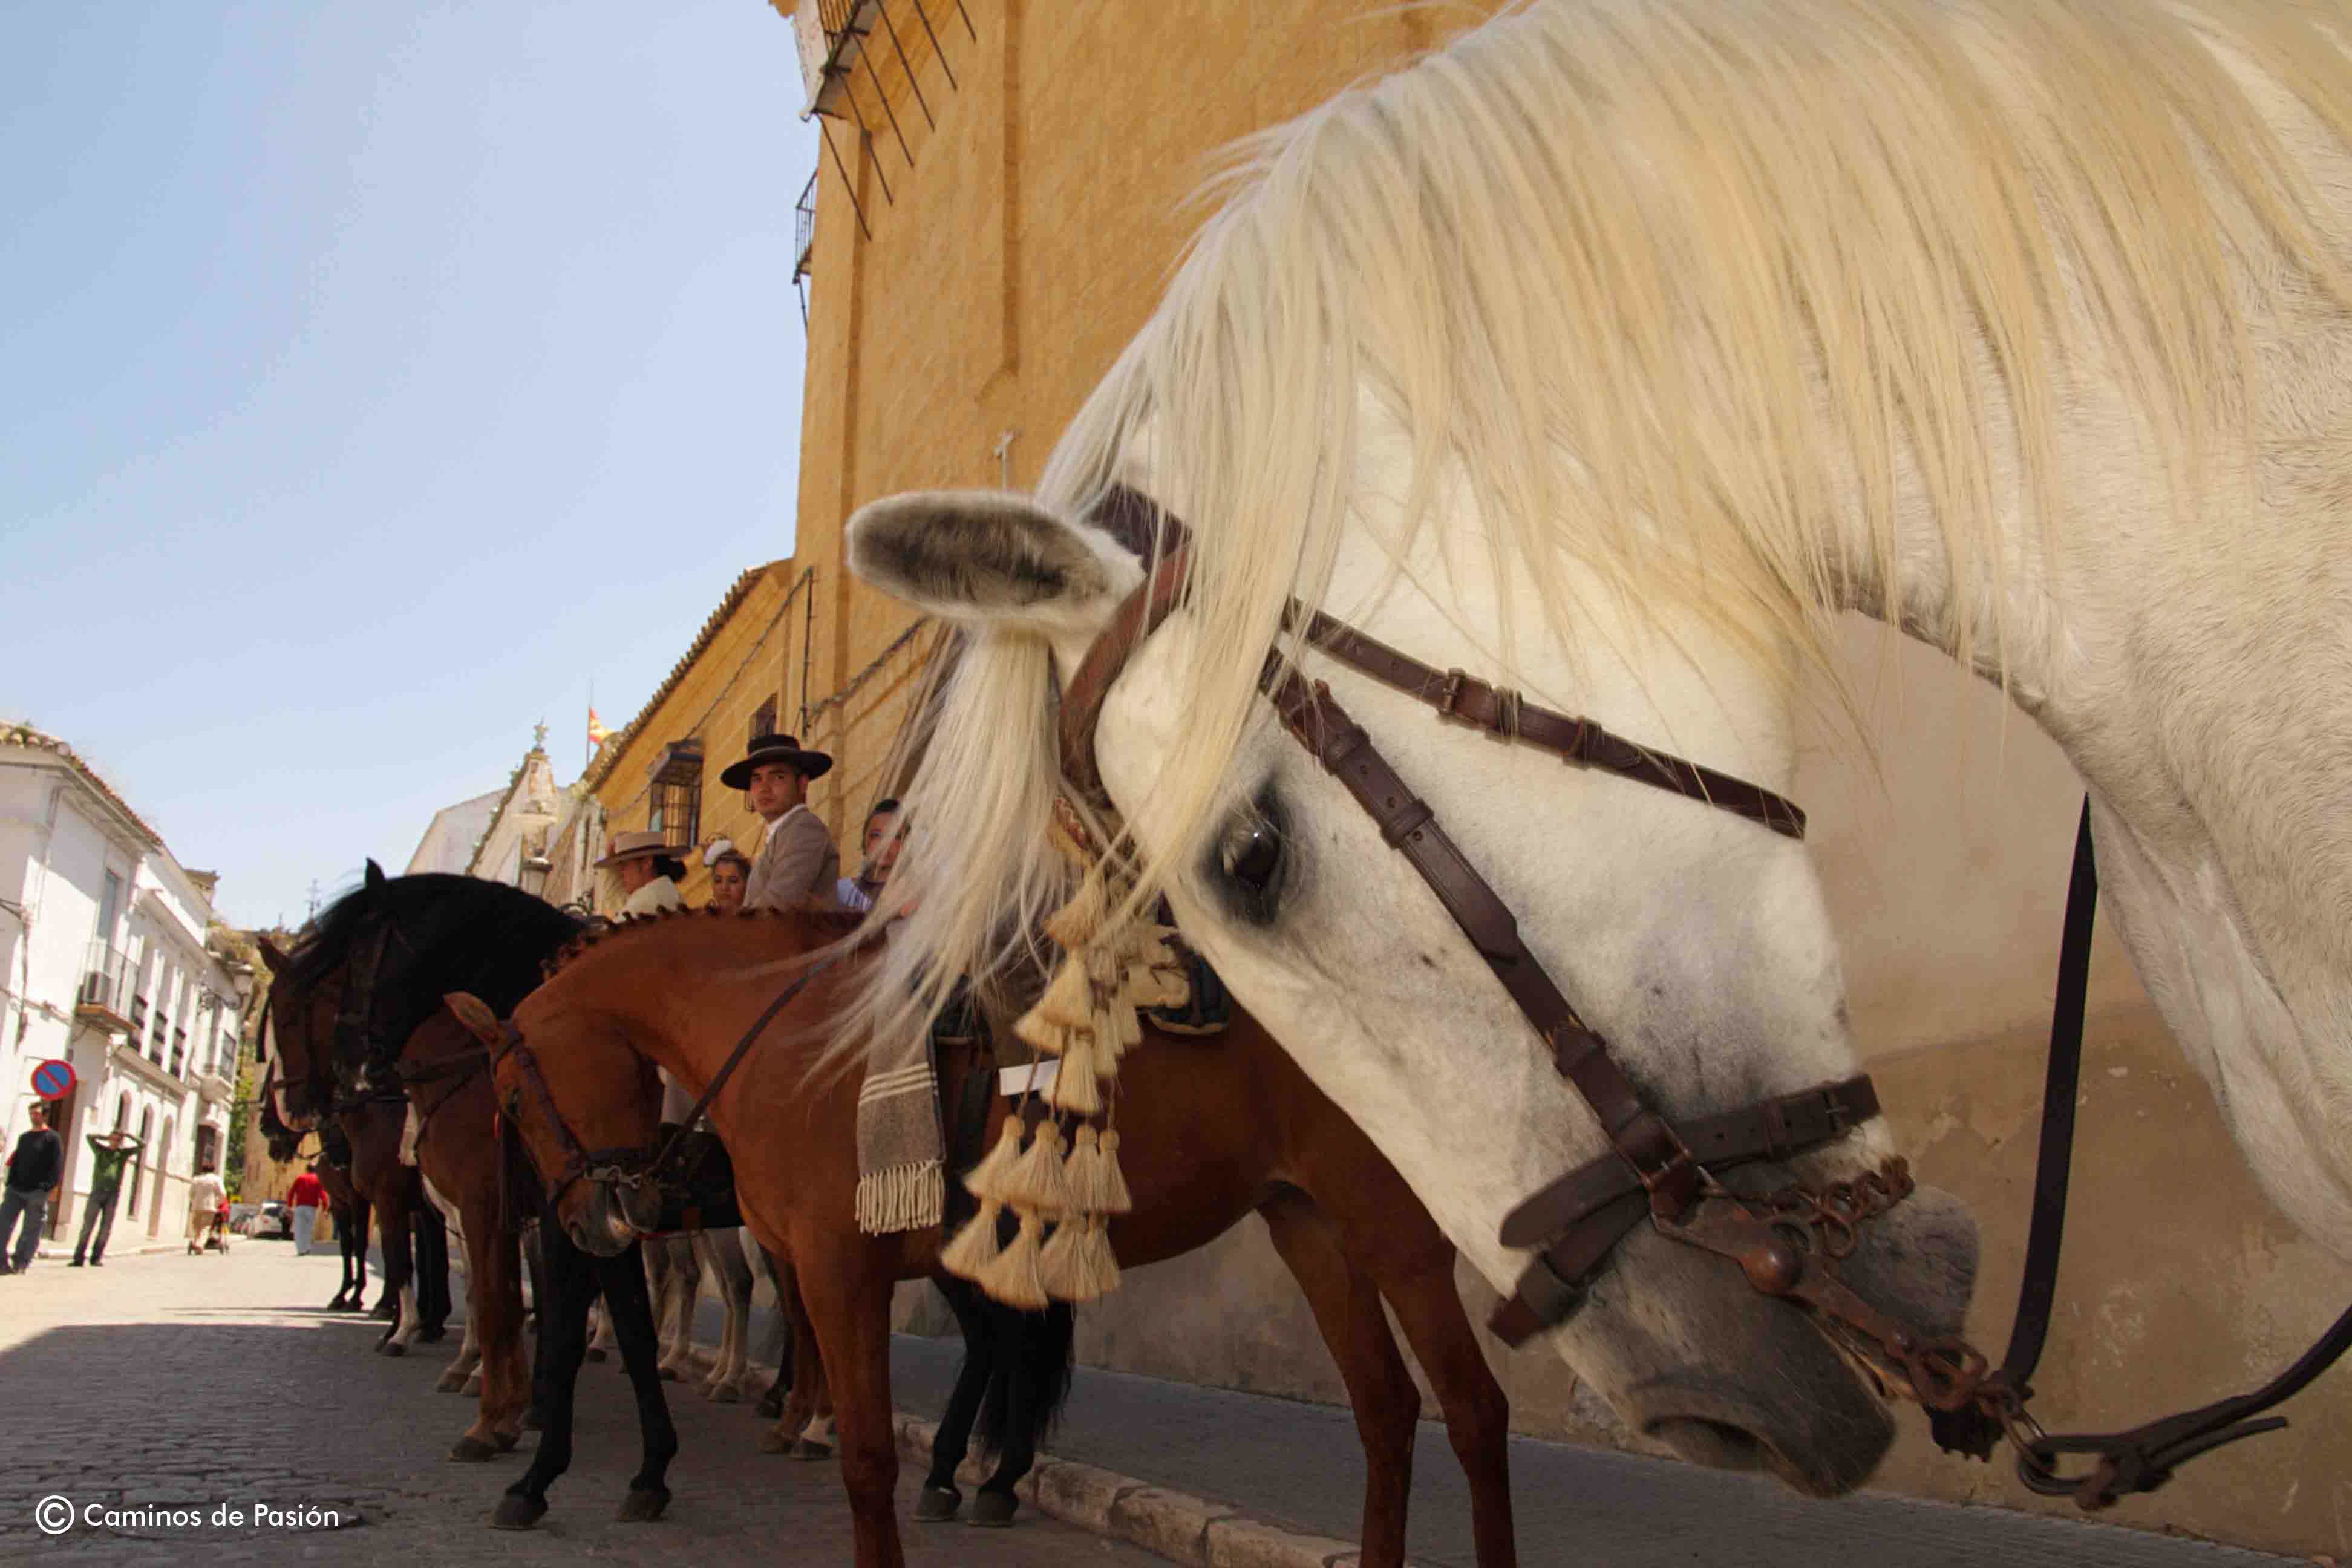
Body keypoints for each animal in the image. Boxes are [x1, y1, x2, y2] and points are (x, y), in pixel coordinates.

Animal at [452, 905, 1517, 1568]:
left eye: (513, 1094)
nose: (587, 1218)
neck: (799, 1045)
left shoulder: (841, 1275)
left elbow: (866, 1462)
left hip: (1395, 1228)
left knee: (1474, 1413)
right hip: (1310, 1226)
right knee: (1387, 1413)